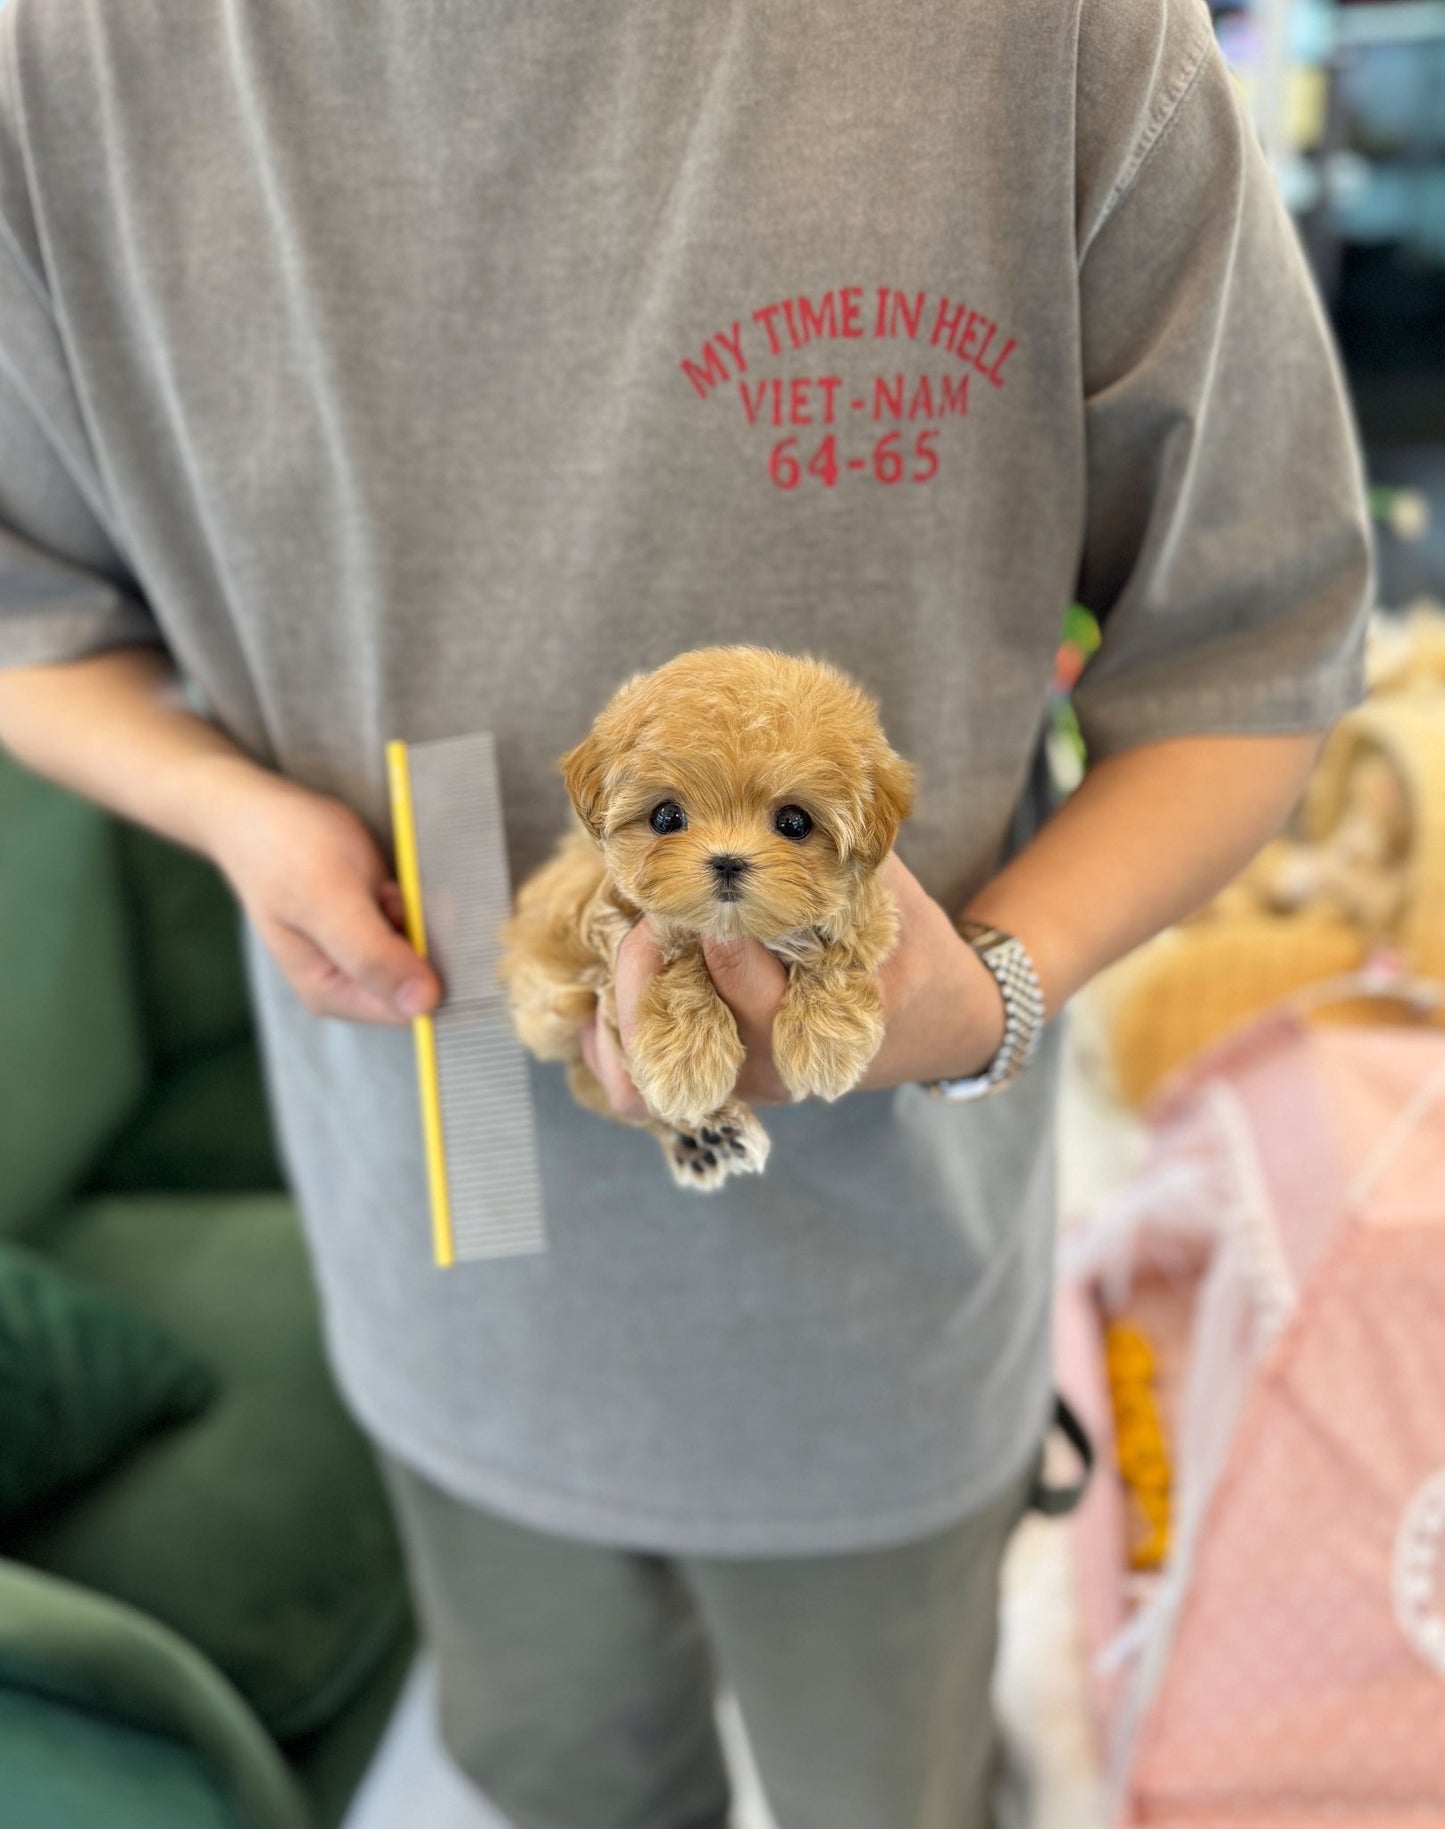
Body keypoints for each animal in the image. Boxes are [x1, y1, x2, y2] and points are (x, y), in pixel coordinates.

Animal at [497, 643, 918, 1185]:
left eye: (794, 822)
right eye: (666, 817)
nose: (728, 860)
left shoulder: (874, 912)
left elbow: (839, 947)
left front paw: (827, 1040)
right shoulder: (607, 913)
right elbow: (681, 952)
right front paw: (688, 1059)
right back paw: (706, 1132)